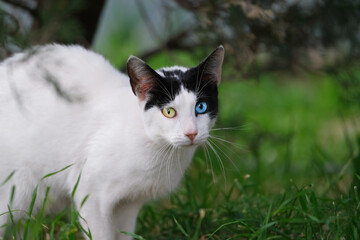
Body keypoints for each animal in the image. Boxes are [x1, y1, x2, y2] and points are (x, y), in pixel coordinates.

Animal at [0, 44, 224, 239]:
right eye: (169, 112)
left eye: (201, 107)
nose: (191, 133)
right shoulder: (90, 194)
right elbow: (101, 234)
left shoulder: (129, 203)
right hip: (16, 191)